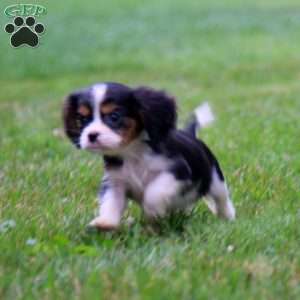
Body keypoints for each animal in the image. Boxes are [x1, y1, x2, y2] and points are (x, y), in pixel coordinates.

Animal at [63, 83, 236, 231]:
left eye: (114, 116)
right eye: (82, 119)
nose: (91, 135)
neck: (132, 151)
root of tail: (190, 134)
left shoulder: (176, 171)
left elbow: (154, 192)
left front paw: (153, 211)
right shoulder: (115, 181)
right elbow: (110, 202)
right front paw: (105, 222)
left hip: (215, 180)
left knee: (221, 199)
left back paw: (227, 217)